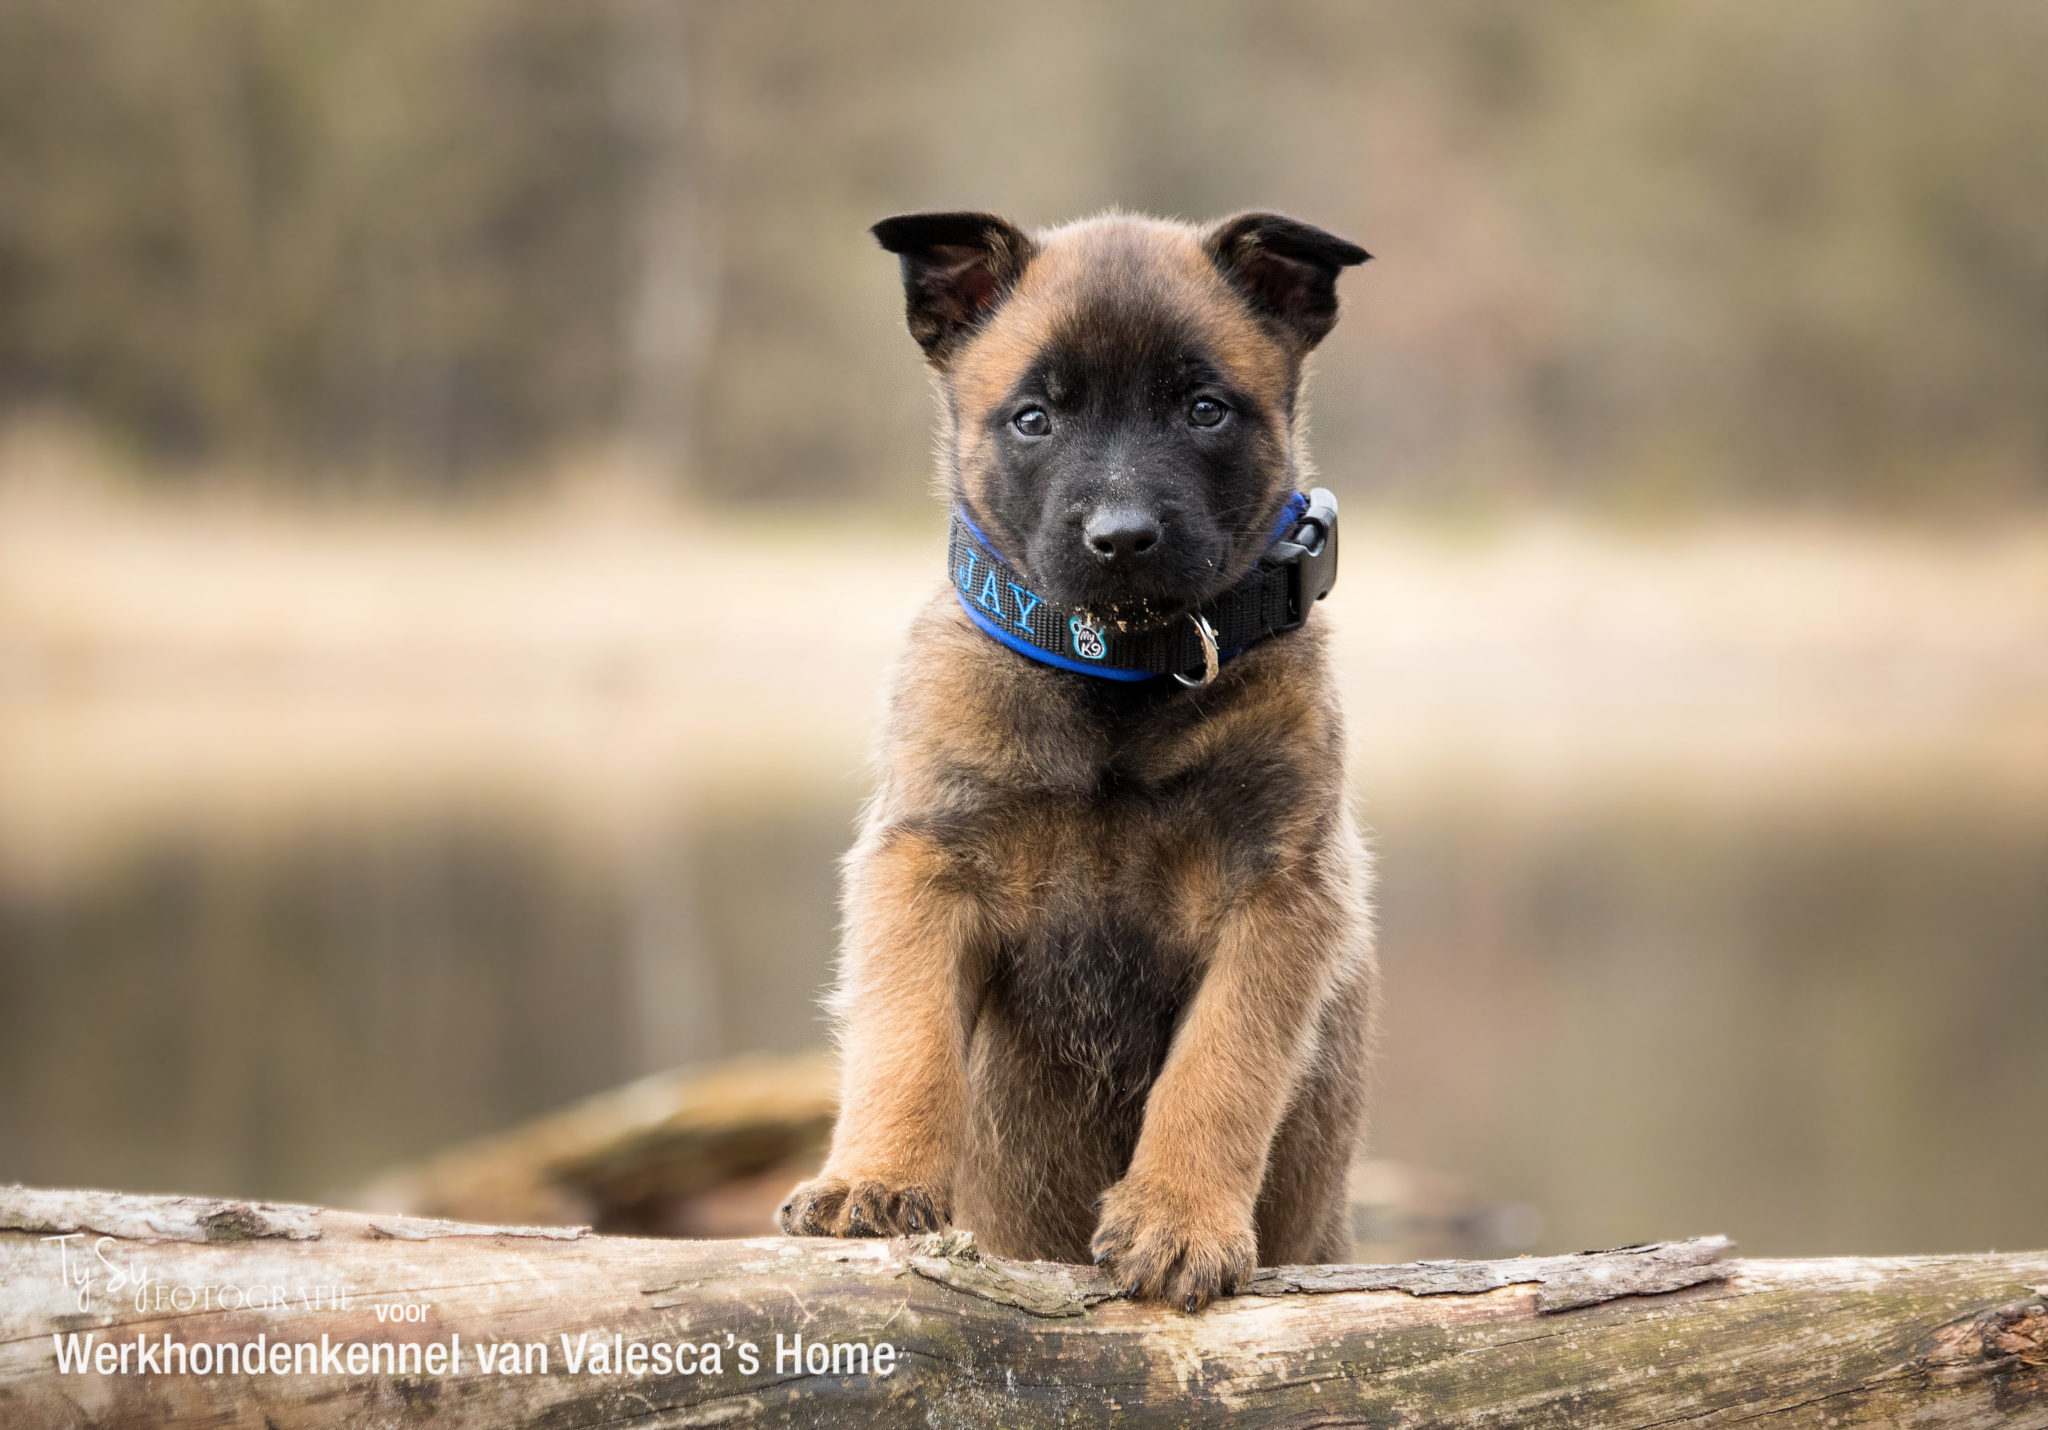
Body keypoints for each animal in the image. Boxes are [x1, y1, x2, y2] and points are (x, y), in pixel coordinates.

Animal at [778, 205, 1376, 1311]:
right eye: (1032, 419)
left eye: (1203, 409)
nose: (1122, 537)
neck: (1119, 684)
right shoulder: (923, 861)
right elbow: (904, 1037)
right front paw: (872, 1176)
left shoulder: (1276, 890)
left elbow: (1218, 1069)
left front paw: (1180, 1218)